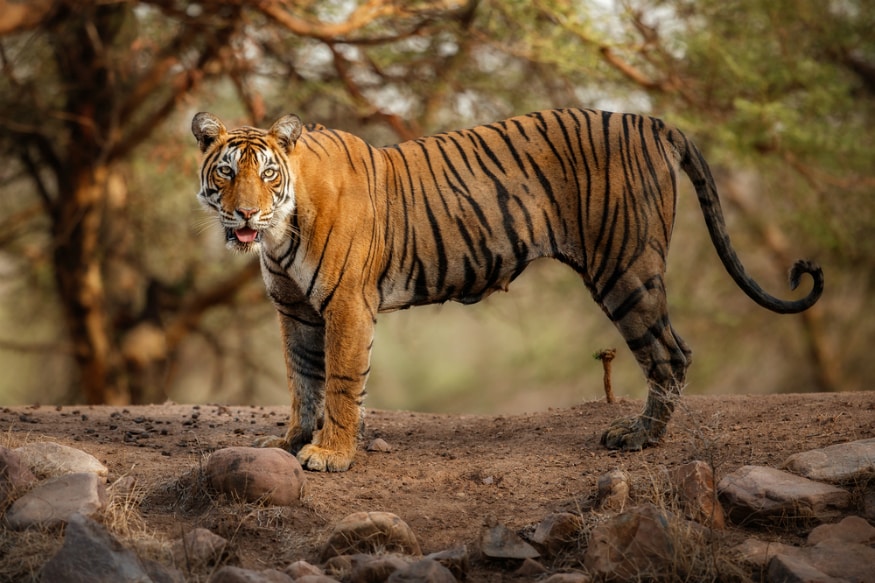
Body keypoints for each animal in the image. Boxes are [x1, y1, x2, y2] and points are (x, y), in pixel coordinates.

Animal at [190, 109, 820, 472]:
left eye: (267, 173)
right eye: (227, 171)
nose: (245, 213)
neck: (279, 232)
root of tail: (654, 123)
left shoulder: (346, 305)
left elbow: (340, 383)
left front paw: (330, 454)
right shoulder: (294, 310)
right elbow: (303, 381)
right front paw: (291, 443)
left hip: (626, 269)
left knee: (670, 354)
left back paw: (638, 438)